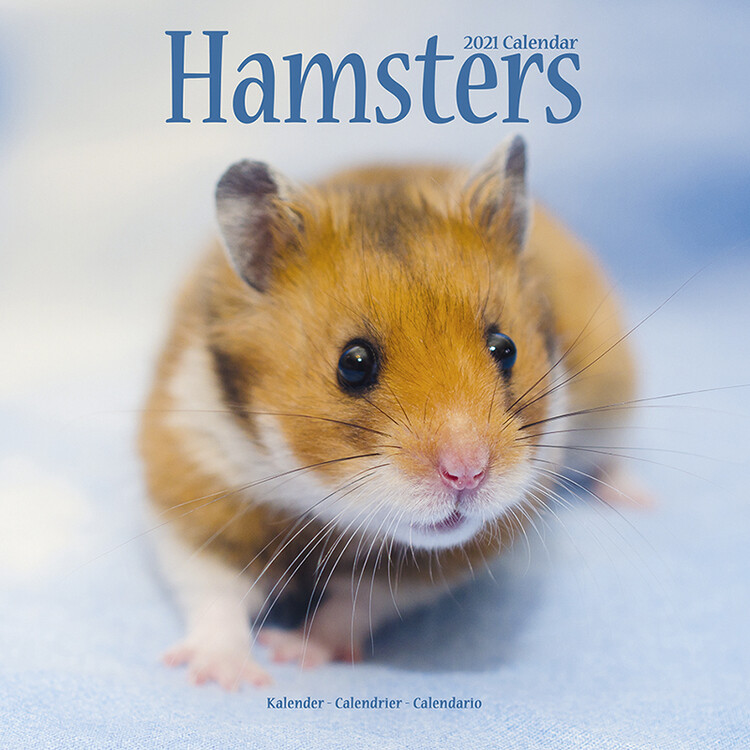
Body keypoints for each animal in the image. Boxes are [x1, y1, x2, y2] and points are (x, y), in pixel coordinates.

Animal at [139, 135, 636, 689]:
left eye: (504, 347)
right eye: (353, 363)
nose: (468, 474)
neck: (321, 502)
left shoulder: (441, 558)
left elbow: (356, 603)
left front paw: (294, 653)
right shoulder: (195, 487)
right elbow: (215, 591)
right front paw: (227, 677)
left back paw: (635, 498)